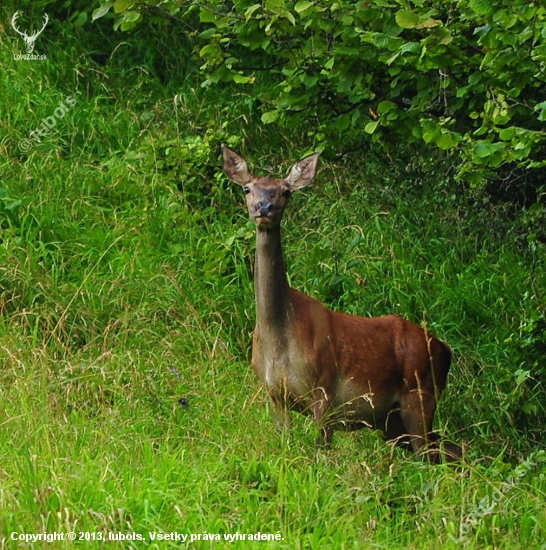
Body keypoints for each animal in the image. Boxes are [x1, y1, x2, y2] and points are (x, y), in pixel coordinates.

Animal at [221, 144, 460, 464]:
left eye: (286, 192)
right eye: (247, 188)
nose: (264, 207)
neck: (278, 339)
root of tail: (445, 350)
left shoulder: (325, 390)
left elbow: (320, 452)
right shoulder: (274, 394)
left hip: (420, 395)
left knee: (432, 455)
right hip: (391, 421)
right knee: (450, 450)